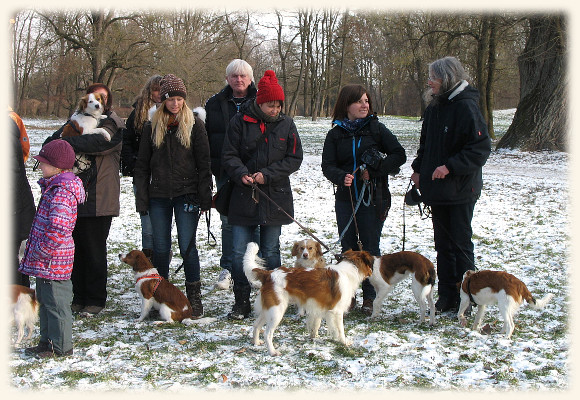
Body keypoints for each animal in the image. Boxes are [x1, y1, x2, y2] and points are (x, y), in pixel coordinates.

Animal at [242, 241, 374, 356]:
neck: (350, 269)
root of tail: (269, 274)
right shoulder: (336, 311)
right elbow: (340, 329)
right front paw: (344, 342)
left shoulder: (319, 306)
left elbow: (316, 324)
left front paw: (314, 337)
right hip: (276, 311)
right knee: (267, 333)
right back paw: (272, 352)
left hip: (269, 310)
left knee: (256, 325)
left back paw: (256, 342)